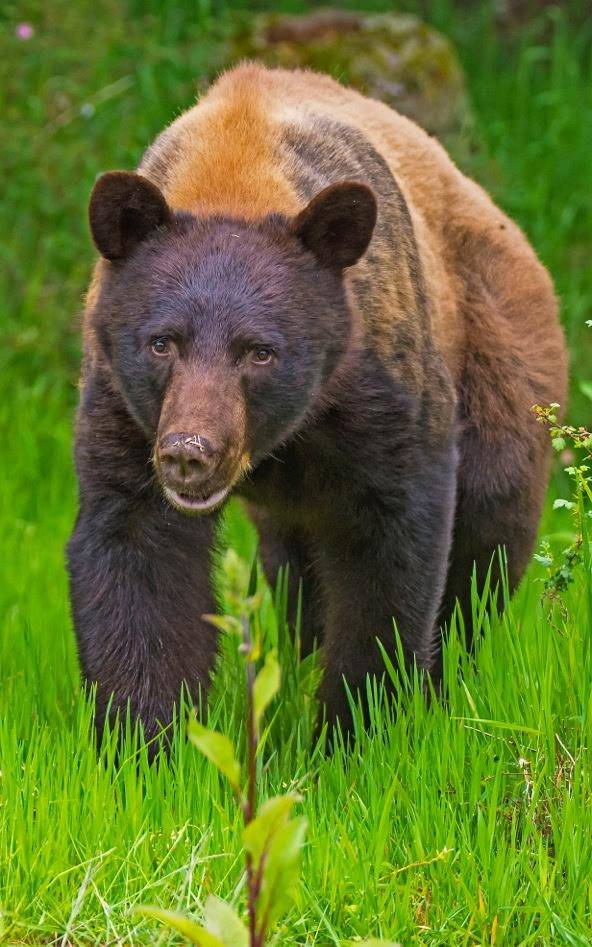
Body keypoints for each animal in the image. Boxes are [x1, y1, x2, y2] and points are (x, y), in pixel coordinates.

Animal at [67, 63, 567, 744]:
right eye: (161, 341)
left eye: (260, 351)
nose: (190, 452)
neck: (236, 168)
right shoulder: (122, 403)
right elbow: (136, 554)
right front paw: (145, 740)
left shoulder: (377, 381)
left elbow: (389, 545)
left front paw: (358, 728)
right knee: (295, 574)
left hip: (498, 353)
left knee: (487, 536)